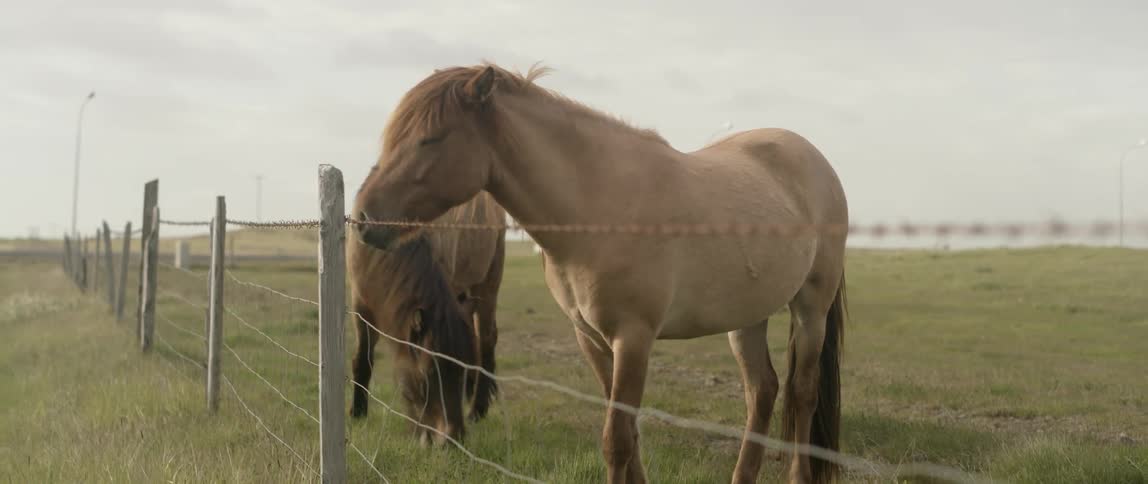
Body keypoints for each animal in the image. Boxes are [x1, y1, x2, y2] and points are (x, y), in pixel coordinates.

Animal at [348, 163, 507, 443]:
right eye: (426, 376)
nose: (453, 438)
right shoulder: (361, 305)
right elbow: (362, 358)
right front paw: (357, 413)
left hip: (487, 285)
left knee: (486, 340)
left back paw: (477, 409)